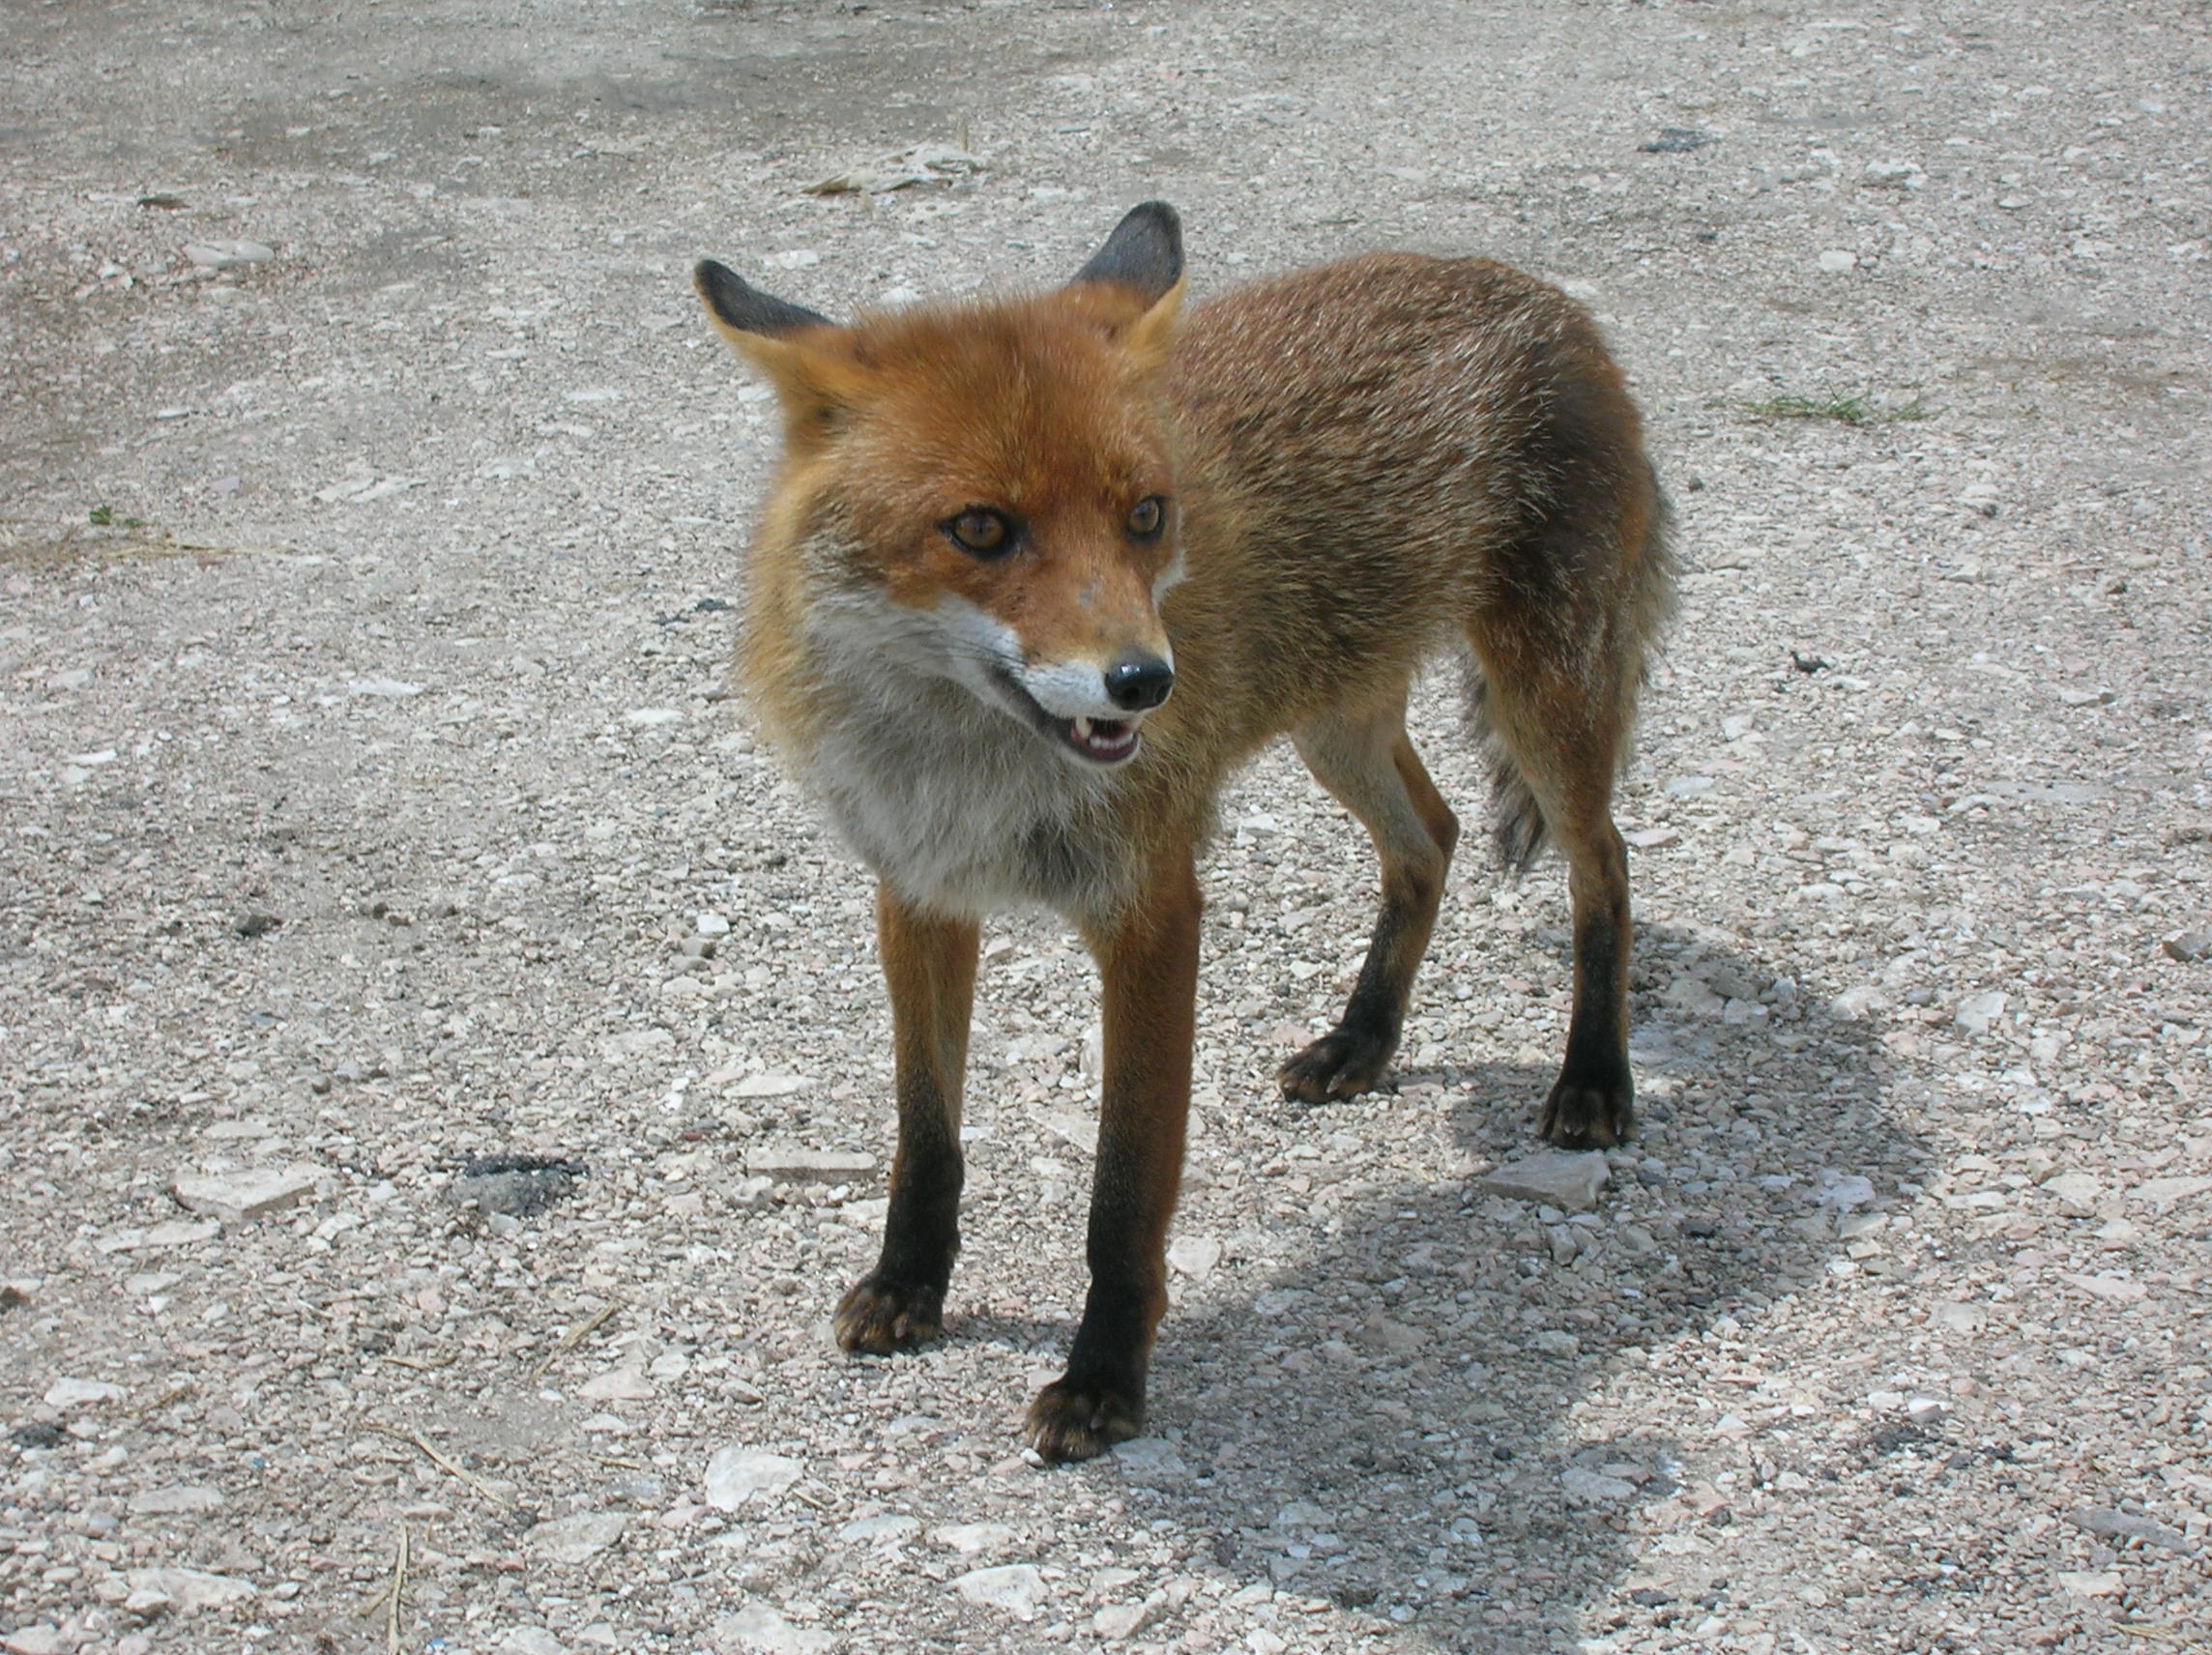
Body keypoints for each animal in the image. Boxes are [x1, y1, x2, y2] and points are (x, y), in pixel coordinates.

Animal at [693, 202, 1674, 1462]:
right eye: (980, 527)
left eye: (1145, 516)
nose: (1145, 682)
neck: (966, 770)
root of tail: (1539, 293)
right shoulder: (918, 891)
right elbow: (926, 1136)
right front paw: (909, 1283)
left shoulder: (1152, 912)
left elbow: (1123, 1192)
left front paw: (1103, 1381)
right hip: (1335, 721)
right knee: (1433, 836)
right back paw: (1362, 1039)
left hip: (1540, 700)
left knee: (1605, 864)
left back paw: (1593, 1077)